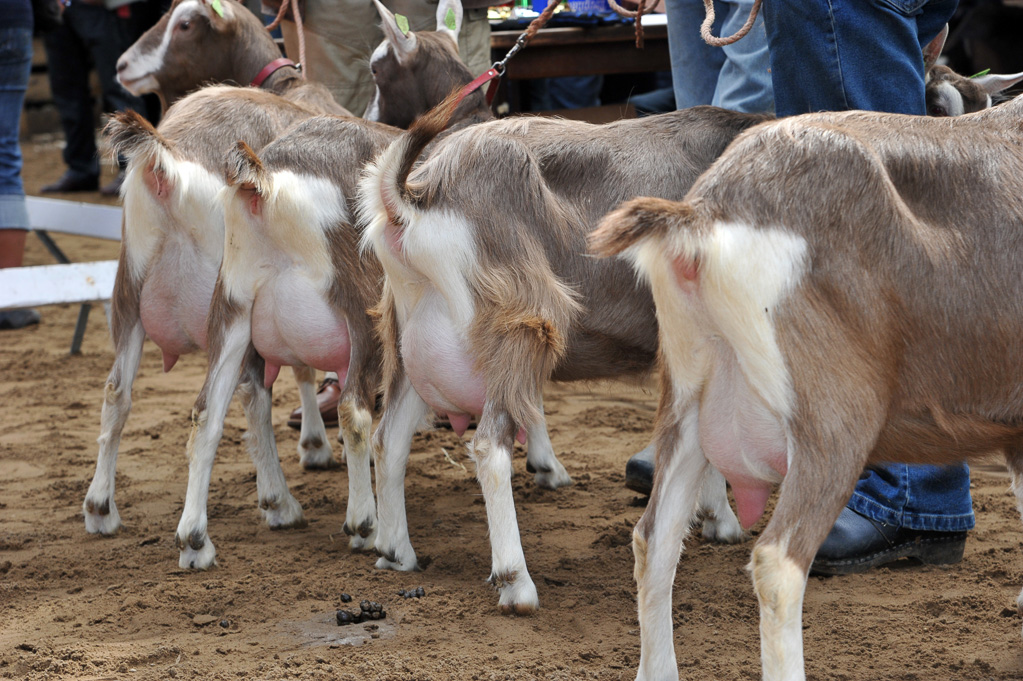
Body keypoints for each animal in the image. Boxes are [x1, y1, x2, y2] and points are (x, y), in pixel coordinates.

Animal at [85, 86, 323, 539]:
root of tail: (168, 164)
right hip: (235, 302)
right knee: (249, 395)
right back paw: (278, 504)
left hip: (130, 292)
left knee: (116, 392)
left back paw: (100, 508)